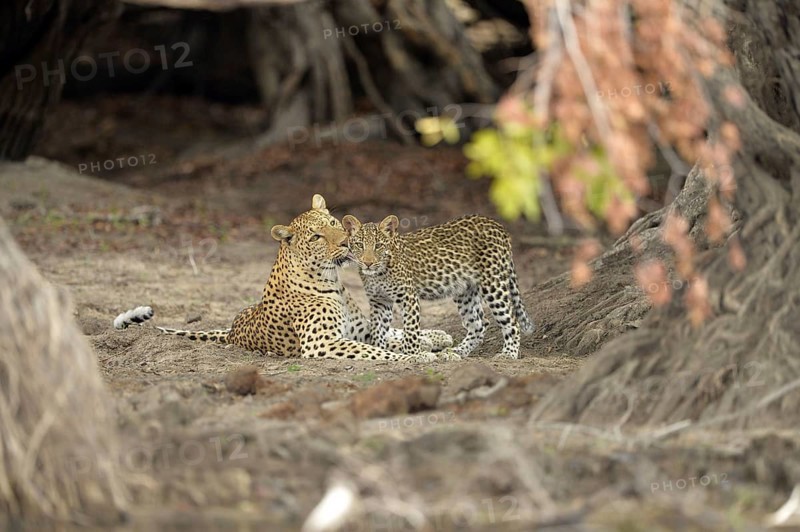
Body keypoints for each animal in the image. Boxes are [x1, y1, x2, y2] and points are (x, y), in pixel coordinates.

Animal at [119, 195, 454, 362]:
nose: (347, 243)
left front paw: (429, 342)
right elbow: (379, 351)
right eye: (317, 236)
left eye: (334, 222)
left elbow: (390, 337)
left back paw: (438, 336)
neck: (332, 280)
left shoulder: (358, 331)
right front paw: (419, 358)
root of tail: (231, 330)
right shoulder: (322, 343)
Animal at [342, 213, 535, 359]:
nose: (368, 263)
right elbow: (377, 330)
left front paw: (414, 355)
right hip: (464, 291)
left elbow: (410, 331)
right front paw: (381, 350)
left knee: (511, 320)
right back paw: (457, 351)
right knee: (479, 324)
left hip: (493, 284)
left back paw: (508, 353)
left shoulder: (408, 297)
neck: (378, 274)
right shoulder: (380, 302)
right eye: (359, 245)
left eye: (379, 246)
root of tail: (497, 225)